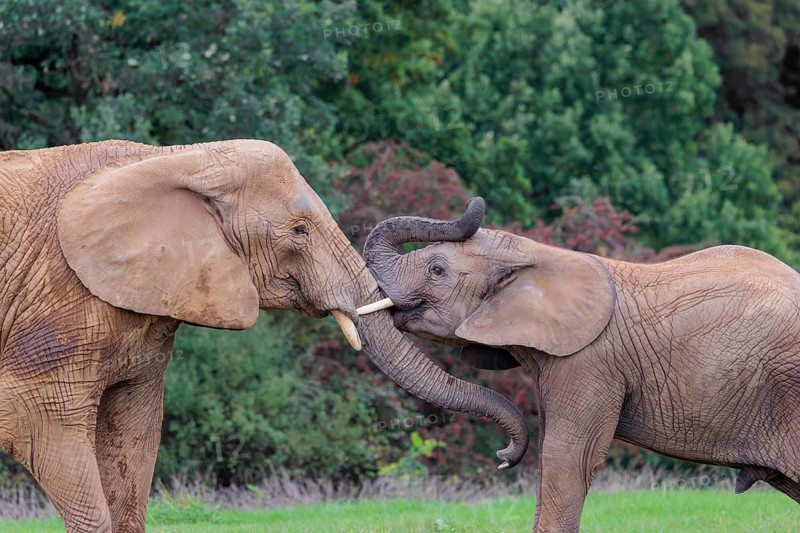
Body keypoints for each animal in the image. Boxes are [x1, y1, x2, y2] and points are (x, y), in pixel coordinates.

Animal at [0, 142, 528, 532]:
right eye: (298, 232)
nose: (504, 458)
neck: (174, 157)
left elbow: (134, 437)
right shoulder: (55, 301)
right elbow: (43, 428)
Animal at [363, 197, 800, 532]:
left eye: (437, 270)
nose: (504, 456)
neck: (535, 253)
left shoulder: (589, 361)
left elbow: (568, 456)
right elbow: (550, 457)